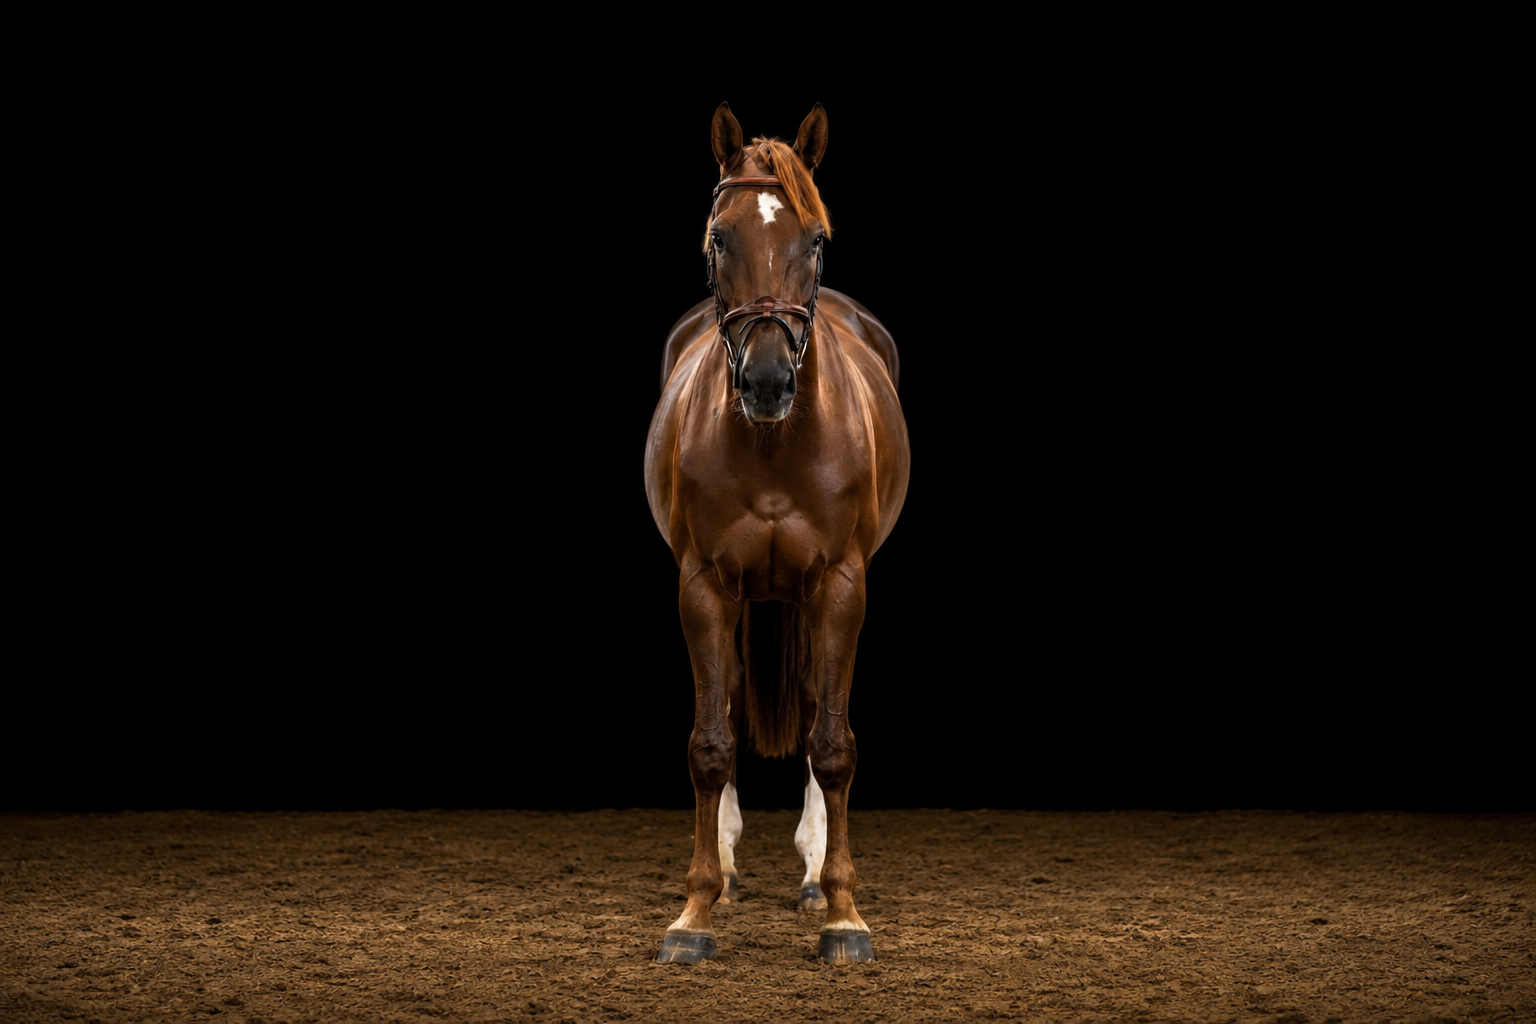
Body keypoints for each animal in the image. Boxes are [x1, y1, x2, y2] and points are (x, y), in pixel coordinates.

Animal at [644, 102, 910, 965]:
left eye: (816, 240)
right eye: (719, 237)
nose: (766, 383)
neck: (772, 444)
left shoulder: (840, 584)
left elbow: (832, 744)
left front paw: (843, 915)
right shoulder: (702, 584)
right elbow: (710, 741)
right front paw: (694, 914)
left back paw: (811, 876)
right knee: (728, 700)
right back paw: (729, 871)